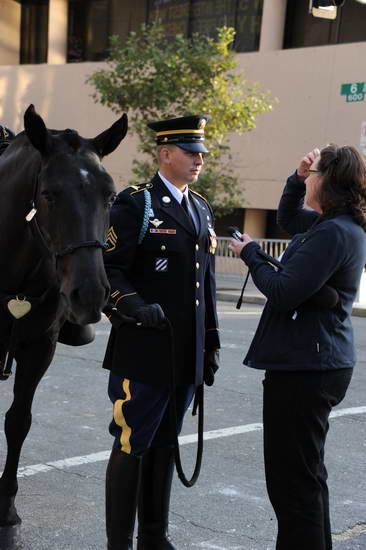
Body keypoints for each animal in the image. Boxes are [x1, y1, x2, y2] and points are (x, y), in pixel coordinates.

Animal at [0, 104, 127, 544]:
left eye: (111, 195)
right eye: (49, 194)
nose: (89, 294)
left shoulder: (40, 346)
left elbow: (18, 421)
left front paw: (7, 512)